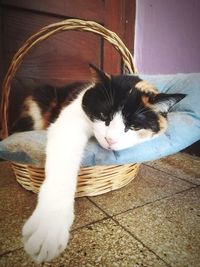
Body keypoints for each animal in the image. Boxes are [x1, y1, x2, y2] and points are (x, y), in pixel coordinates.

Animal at [12, 65, 186, 264]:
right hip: (40, 97)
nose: (110, 139)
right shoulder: (70, 120)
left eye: (134, 126)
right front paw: (49, 225)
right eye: (103, 115)